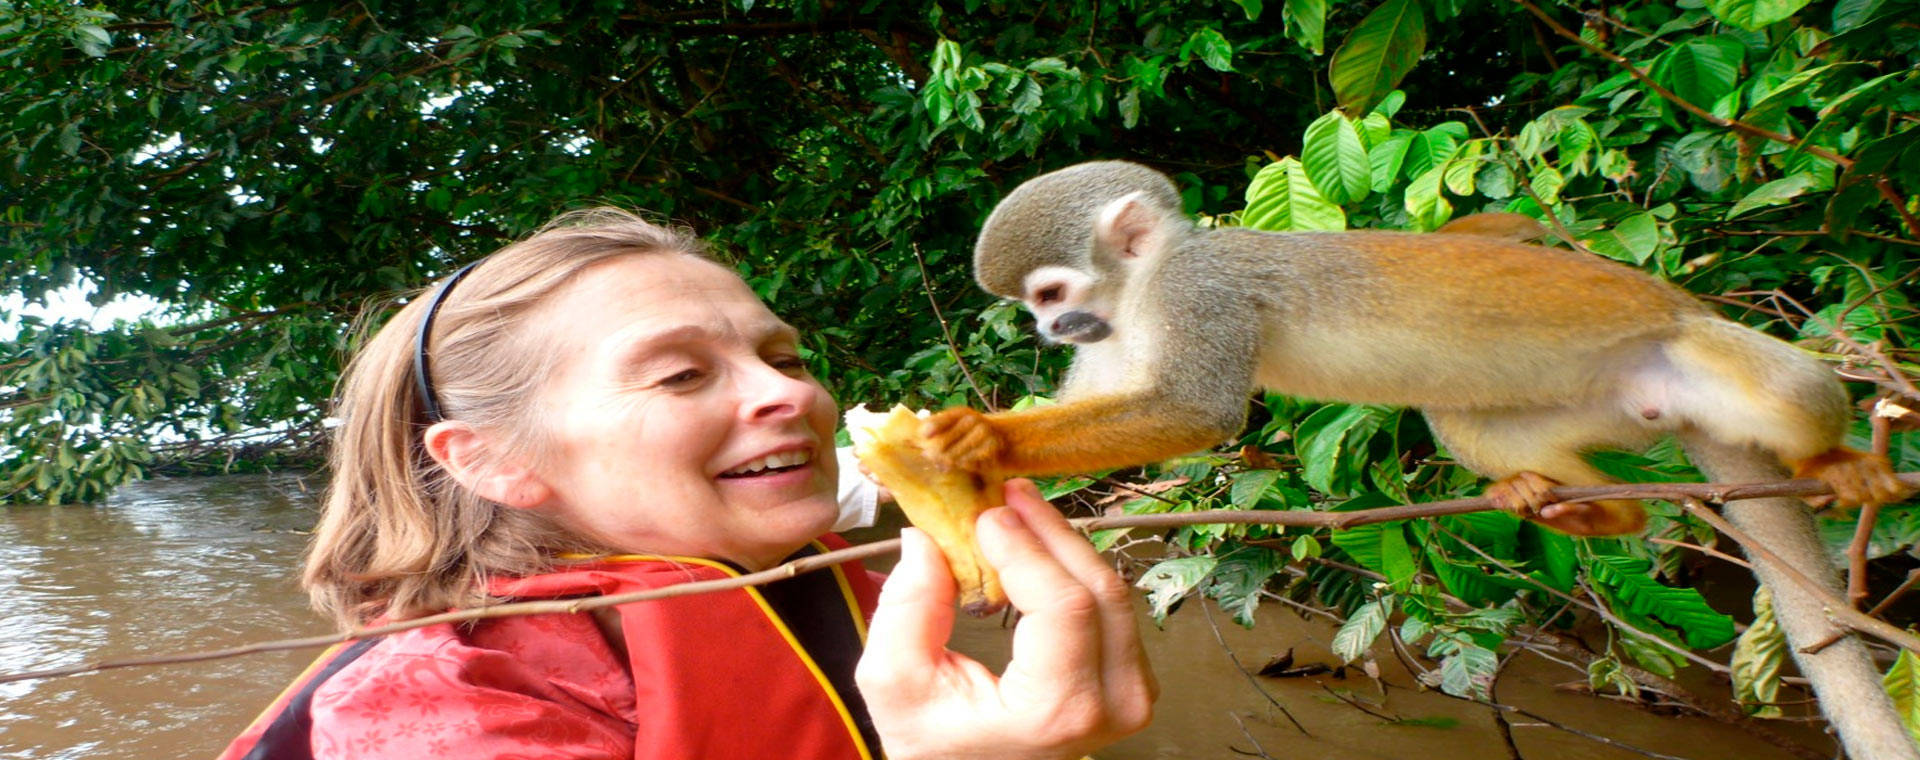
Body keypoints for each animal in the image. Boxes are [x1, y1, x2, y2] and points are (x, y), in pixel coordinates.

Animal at [922, 160, 1918, 759]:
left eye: (1053, 292)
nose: (1052, 329)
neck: (1145, 285)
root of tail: (1657, 397)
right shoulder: (1124, 327)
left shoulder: (1198, 294)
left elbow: (1194, 410)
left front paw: (986, 441)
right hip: (1603, 402)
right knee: (1466, 419)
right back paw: (1599, 507)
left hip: (1690, 344)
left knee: (1780, 384)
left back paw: (1836, 458)